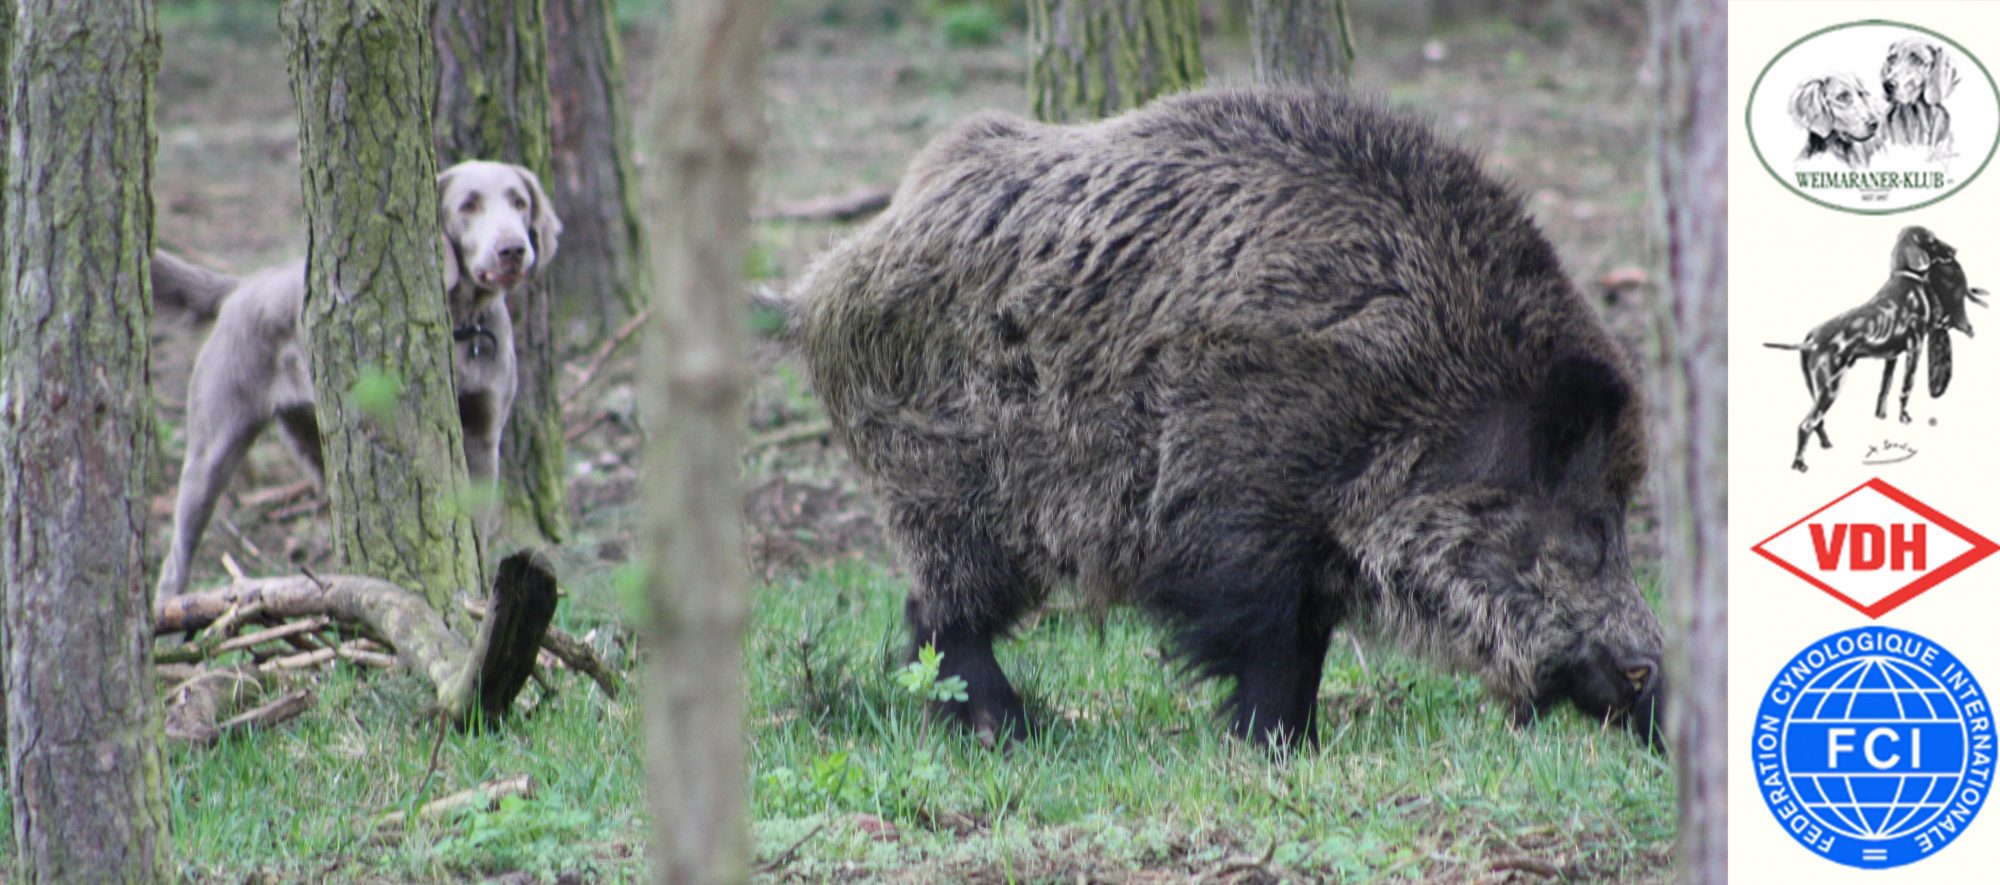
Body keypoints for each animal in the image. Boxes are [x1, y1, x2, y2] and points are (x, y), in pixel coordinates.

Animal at [153, 160, 561, 598]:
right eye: (468, 204)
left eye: (519, 202)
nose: (513, 250)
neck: (463, 324)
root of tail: (241, 285)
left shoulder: (484, 436)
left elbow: (476, 532)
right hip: (212, 448)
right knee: (175, 558)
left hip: (315, 443)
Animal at [1768, 226, 1985, 472]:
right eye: (1932, 240)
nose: (1955, 250)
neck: (1908, 279)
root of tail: (1809, 339)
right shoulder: (1915, 346)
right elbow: (1906, 387)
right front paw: (1904, 417)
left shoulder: (1891, 357)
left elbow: (1884, 389)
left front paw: (1881, 416)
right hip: (1831, 387)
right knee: (1806, 424)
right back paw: (1799, 463)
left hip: (1815, 388)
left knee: (1817, 421)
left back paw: (1826, 444)